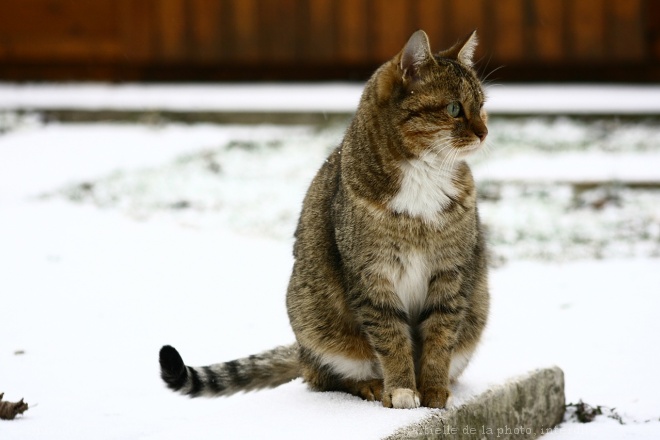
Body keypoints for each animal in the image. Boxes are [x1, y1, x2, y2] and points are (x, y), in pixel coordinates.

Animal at [160, 30, 490, 410]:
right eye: (454, 109)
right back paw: (371, 385)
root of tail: (301, 352)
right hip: (317, 321)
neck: (424, 177)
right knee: (323, 376)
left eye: (482, 106)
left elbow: (439, 336)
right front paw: (402, 390)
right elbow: (391, 338)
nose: (484, 132)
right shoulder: (371, 276)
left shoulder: (451, 273)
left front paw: (433, 390)